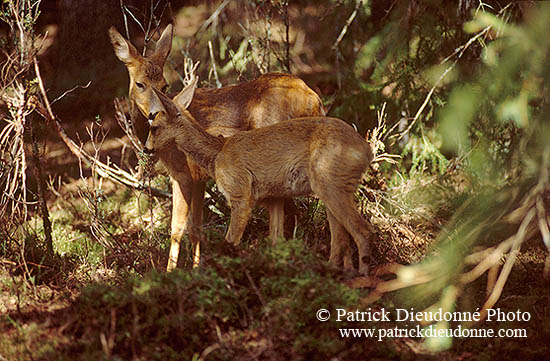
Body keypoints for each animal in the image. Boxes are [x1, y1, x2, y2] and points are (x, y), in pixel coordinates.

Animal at [110, 23, 330, 270]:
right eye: (140, 84)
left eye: (164, 86)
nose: (153, 114)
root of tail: (314, 101)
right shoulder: (199, 178)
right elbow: (196, 228)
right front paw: (196, 268)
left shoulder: (183, 174)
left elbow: (177, 229)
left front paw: (171, 273)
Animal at [143, 79, 376, 274]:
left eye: (154, 128)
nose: (146, 149)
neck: (217, 153)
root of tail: (366, 151)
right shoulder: (274, 198)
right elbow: (276, 241)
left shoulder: (241, 193)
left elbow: (230, 242)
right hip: (330, 190)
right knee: (341, 238)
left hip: (330, 185)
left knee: (362, 230)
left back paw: (362, 276)